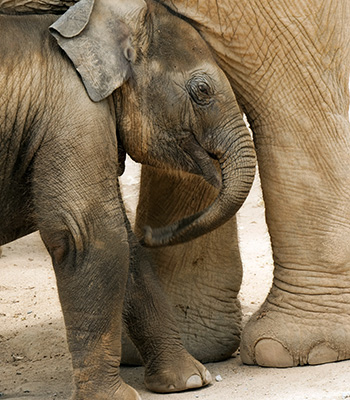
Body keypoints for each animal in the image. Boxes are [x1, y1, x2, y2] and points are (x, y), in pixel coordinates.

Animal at [0, 0, 258, 396]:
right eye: (202, 90)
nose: (153, 231)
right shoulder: (73, 117)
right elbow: (92, 236)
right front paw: (116, 397)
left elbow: (127, 246)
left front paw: (189, 381)